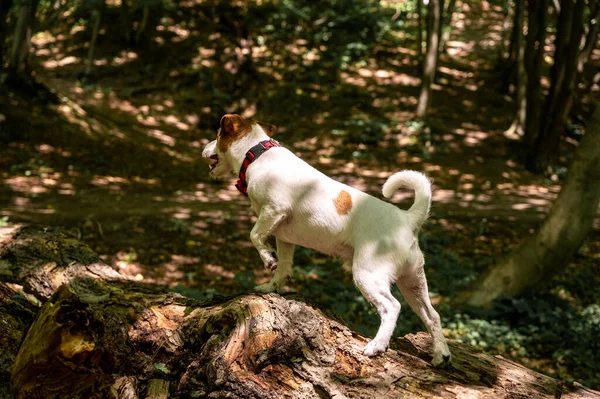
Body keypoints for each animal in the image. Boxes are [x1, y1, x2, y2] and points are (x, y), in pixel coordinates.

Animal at [202, 114, 450, 368]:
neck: (257, 154)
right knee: (432, 315)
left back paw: (376, 346)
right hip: (413, 282)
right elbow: (283, 267)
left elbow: (254, 235)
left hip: (368, 275)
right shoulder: (283, 236)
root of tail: (408, 219)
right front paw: (272, 286)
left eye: (217, 135)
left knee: (392, 307)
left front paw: (268, 259)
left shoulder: (273, 210)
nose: (204, 147)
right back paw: (441, 354)